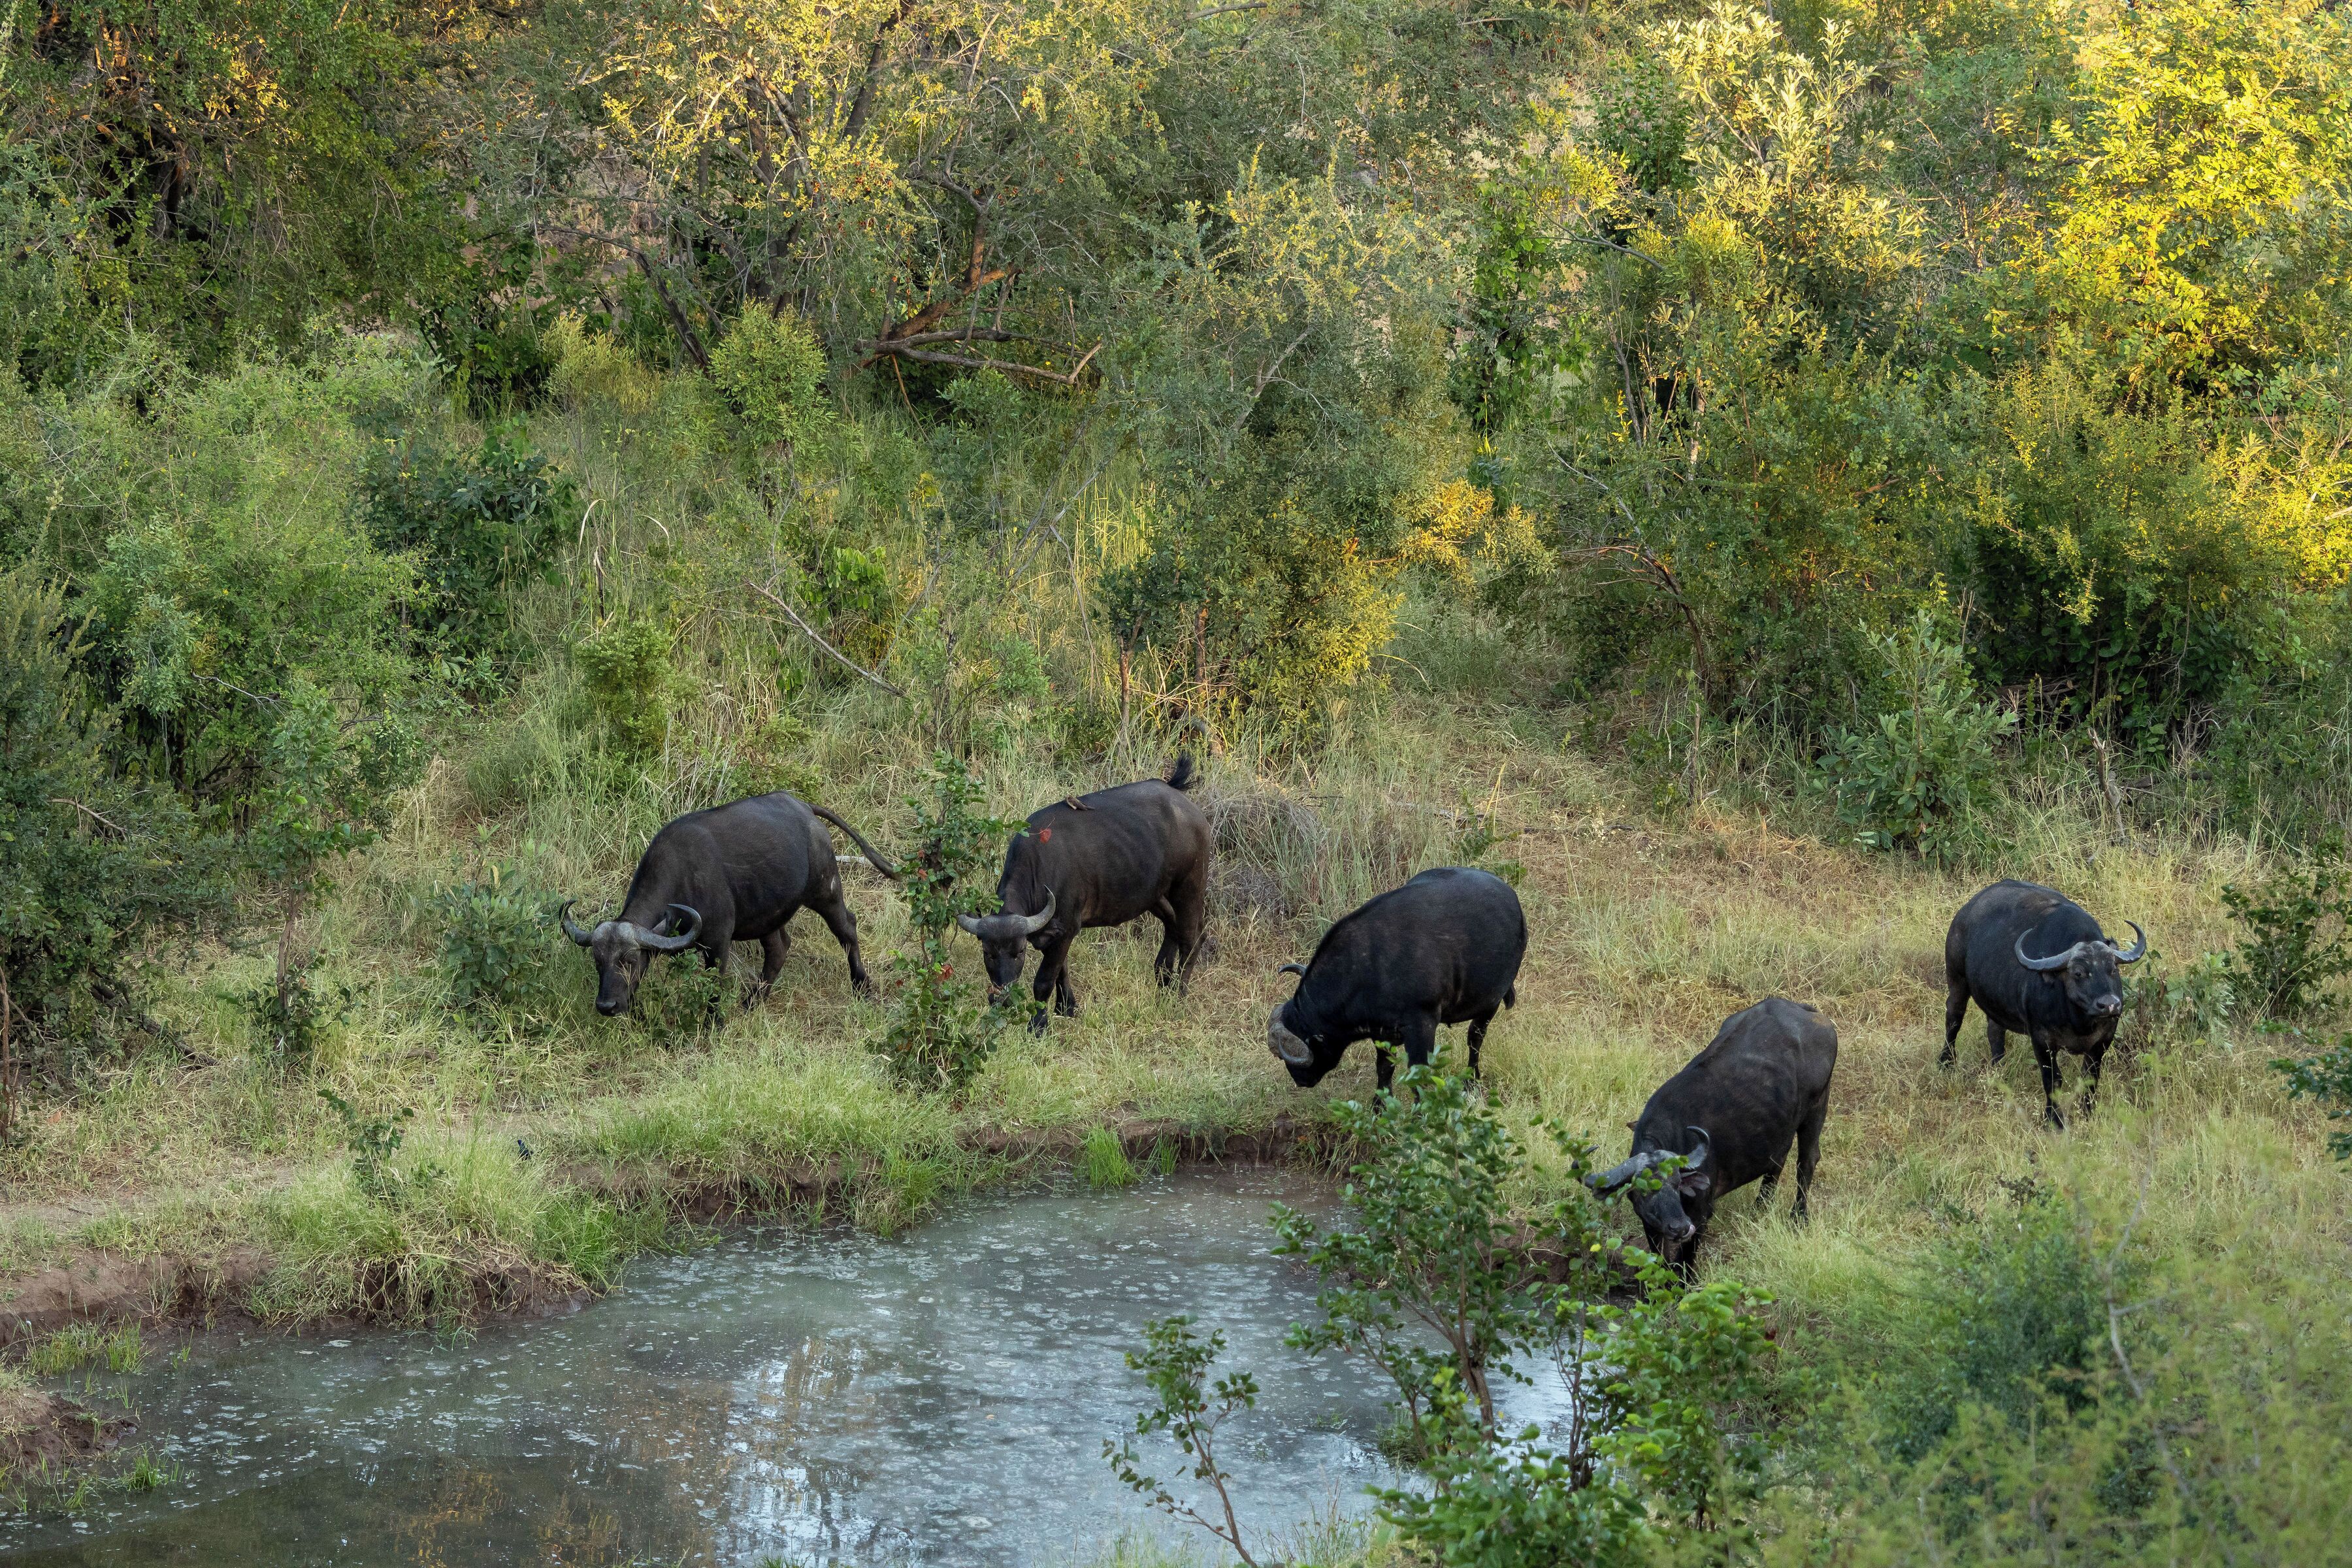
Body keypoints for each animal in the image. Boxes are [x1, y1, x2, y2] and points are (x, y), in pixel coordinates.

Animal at [561, 793, 897, 1015]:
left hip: (826, 890)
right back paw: (752, 1002)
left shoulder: (718, 942)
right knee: (779, 948)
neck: (683, 877)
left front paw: (715, 1023)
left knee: (847, 928)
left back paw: (862, 987)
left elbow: (714, 985)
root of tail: (803, 807)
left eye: (629, 960)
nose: (607, 1005)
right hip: (768, 915)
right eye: (598, 961)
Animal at [956, 755, 1213, 1032]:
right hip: (1154, 896)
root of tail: (1191, 810)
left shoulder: (1066, 929)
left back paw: (1179, 993)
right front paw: (1067, 1008)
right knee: (1172, 925)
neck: (1040, 867)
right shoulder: (1056, 935)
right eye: (988, 953)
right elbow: (1062, 971)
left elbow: (1044, 980)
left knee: (1193, 938)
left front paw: (1039, 1024)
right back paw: (1163, 978)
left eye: (1020, 952)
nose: (1002, 999)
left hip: (1189, 888)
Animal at [1267, 866, 1525, 1092]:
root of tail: (1511, 897)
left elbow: (1419, 1073)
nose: (1300, 1080)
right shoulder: (1383, 1034)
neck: (1369, 965)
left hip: (1490, 1002)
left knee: (1475, 1039)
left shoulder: (1422, 1026)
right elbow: (1384, 1067)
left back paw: (1471, 1080)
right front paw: (1379, 1105)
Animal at [1589, 997, 1838, 1272]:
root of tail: (1810, 1014)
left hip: (1817, 1108)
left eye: (1677, 1183)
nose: (1680, 1228)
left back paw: (1798, 1217)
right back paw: (1760, 1208)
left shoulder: (1700, 1216)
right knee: (1777, 1161)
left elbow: (1684, 1264)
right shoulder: (1651, 1222)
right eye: (1644, 1190)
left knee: (1807, 1160)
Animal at [1942, 879, 2145, 1127]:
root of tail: (1964, 913)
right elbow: (2053, 1079)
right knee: (1954, 1018)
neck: (2078, 1021)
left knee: (1995, 1031)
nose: (2109, 1005)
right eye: (2078, 973)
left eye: (2113, 969)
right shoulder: (2041, 1039)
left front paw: (2088, 1113)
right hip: (1957, 980)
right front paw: (2054, 1119)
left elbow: (2090, 1078)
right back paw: (1946, 1063)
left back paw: (1999, 1069)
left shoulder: (2103, 1040)